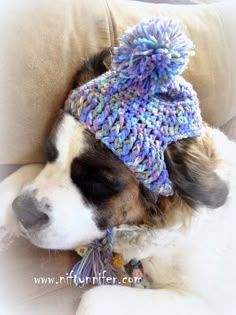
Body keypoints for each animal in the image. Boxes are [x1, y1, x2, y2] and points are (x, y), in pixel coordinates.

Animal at [0, 49, 236, 315]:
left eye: (96, 182)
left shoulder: (206, 301)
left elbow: (91, 300)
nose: (23, 211)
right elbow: (29, 168)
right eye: (50, 153)